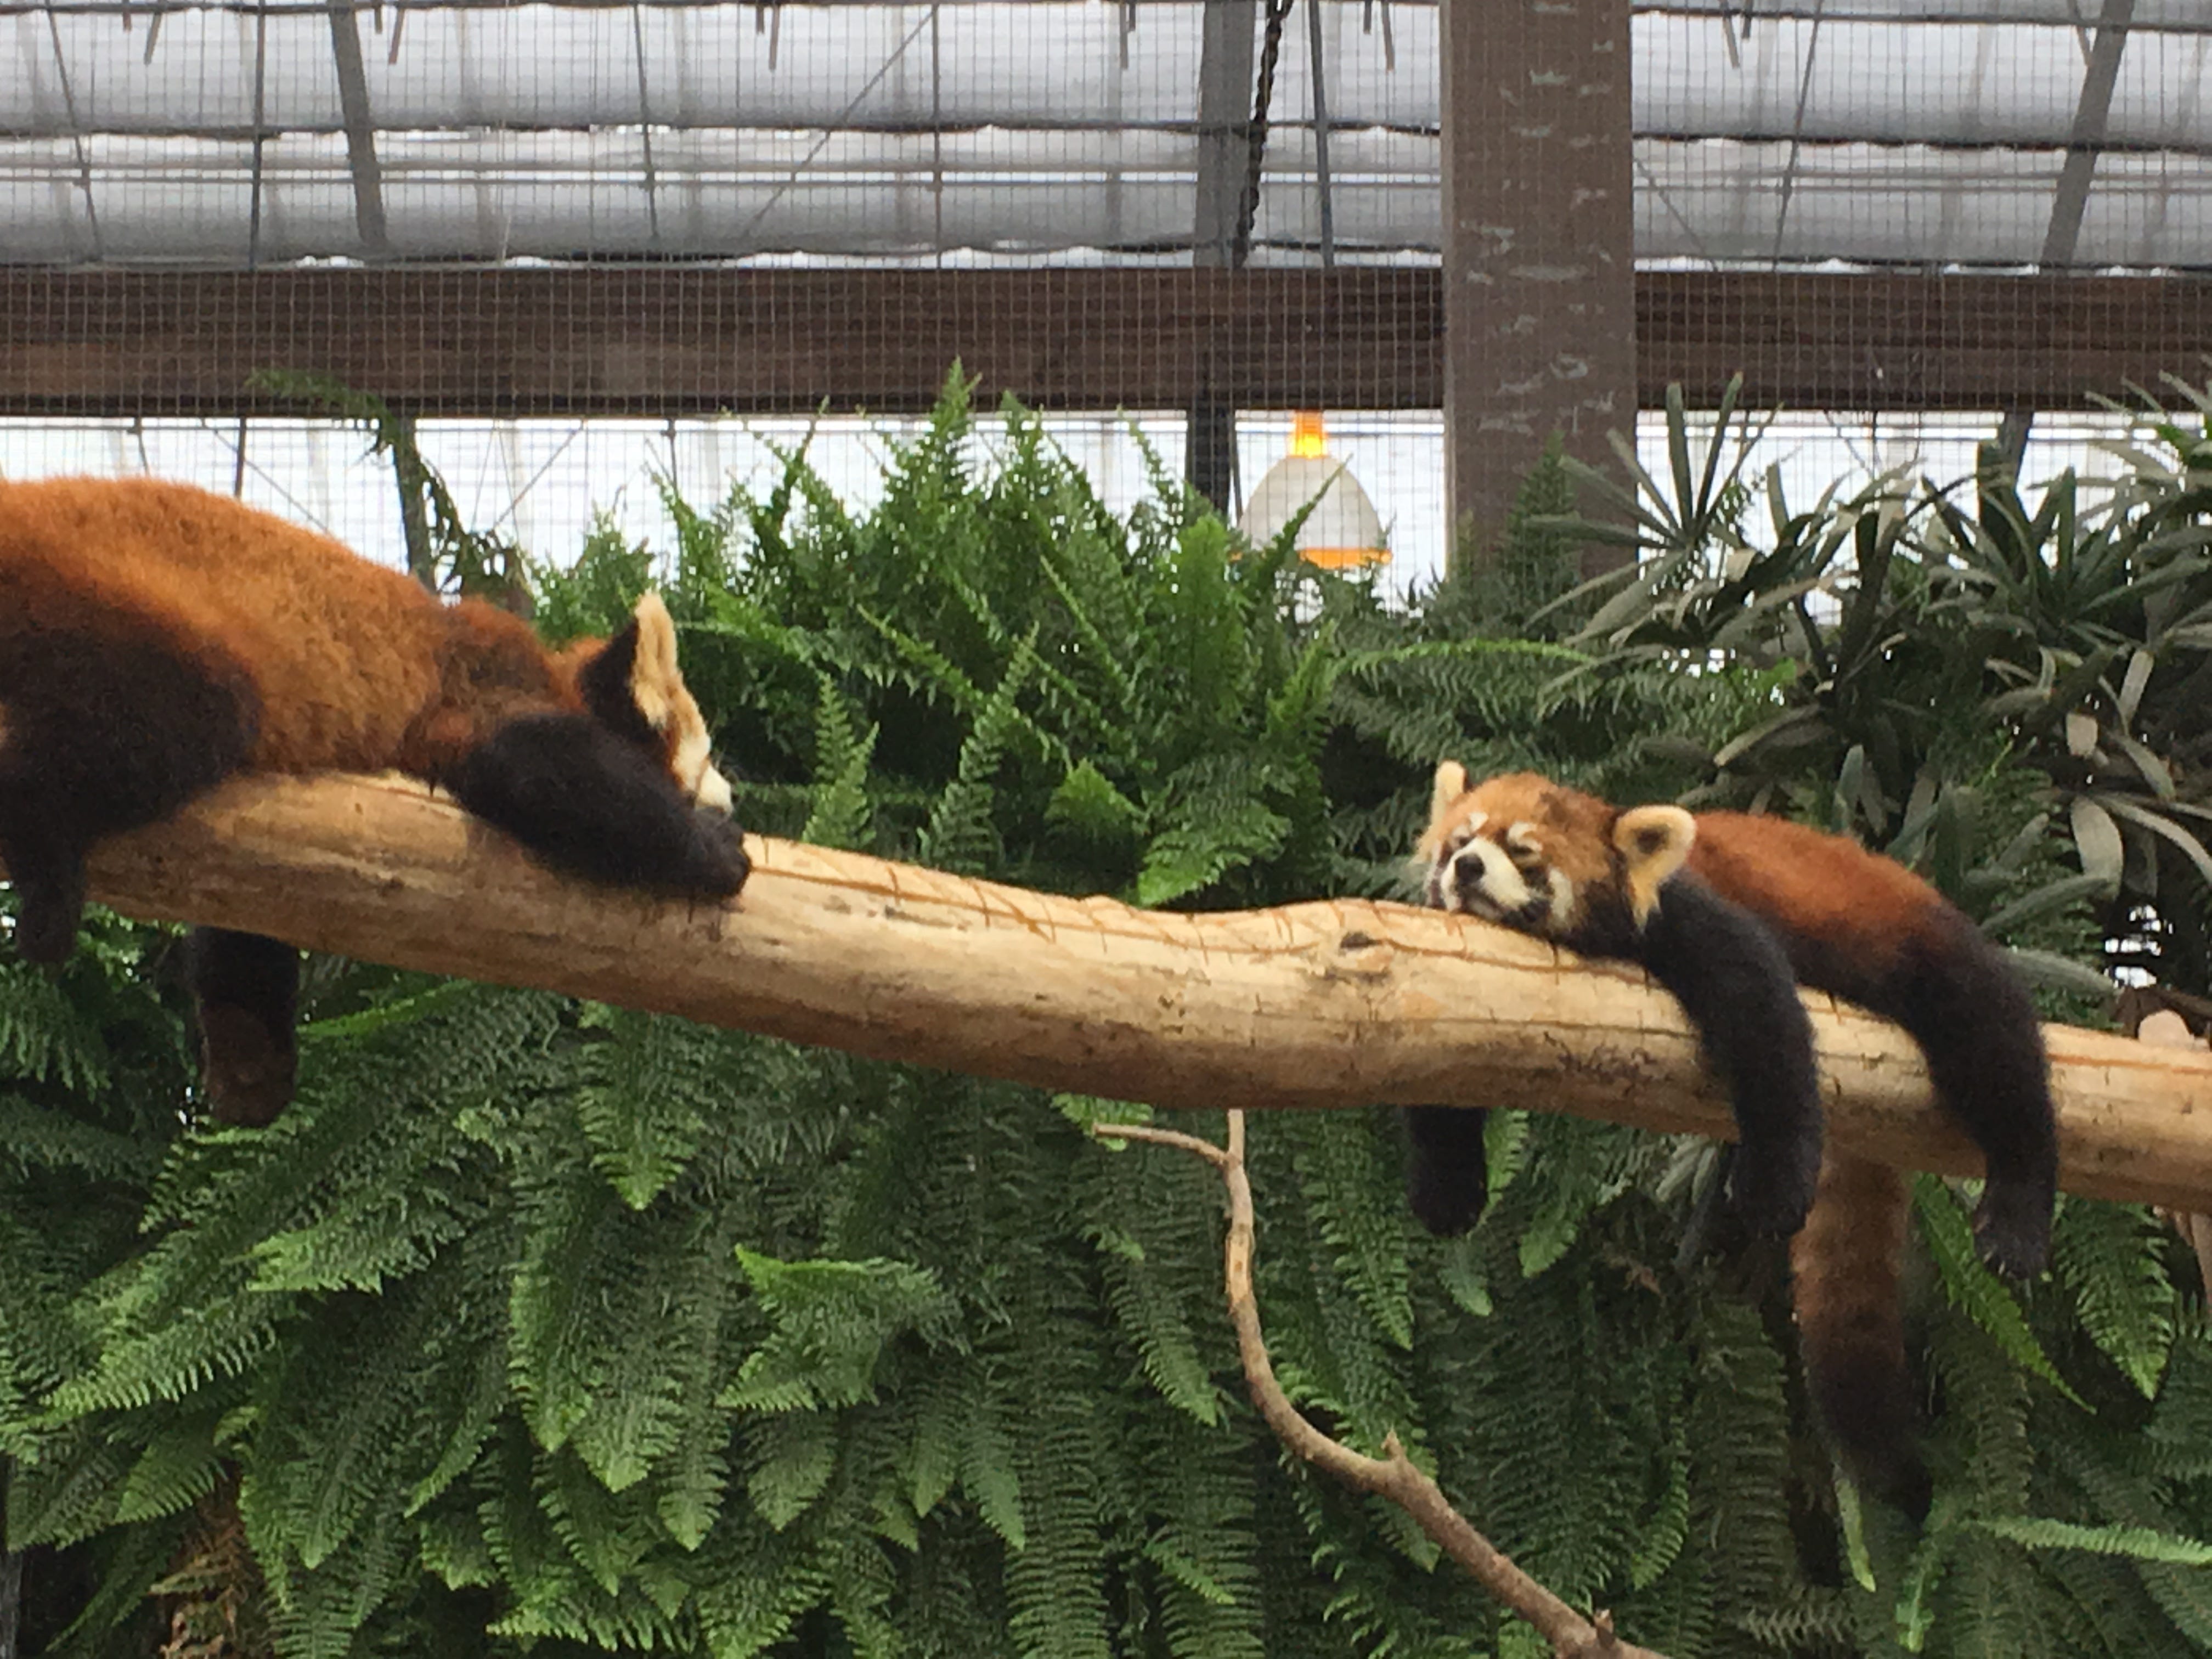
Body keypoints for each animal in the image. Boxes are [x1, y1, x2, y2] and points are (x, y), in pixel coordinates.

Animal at [0, 477, 752, 1132]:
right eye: (707, 760)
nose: (732, 795)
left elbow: (242, 922)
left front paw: (250, 1066)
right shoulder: (478, 697)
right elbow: (545, 768)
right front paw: (715, 852)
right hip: (118, 608)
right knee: (174, 717)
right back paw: (45, 875)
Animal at [1407, 765, 2061, 1522]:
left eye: (1524, 852)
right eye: (1458, 840)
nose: (1466, 866)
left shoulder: (1699, 918)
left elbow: (1765, 1028)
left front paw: (1774, 1192)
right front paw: (1449, 1189)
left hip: (1925, 947)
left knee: (1997, 1044)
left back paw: (2019, 1209)